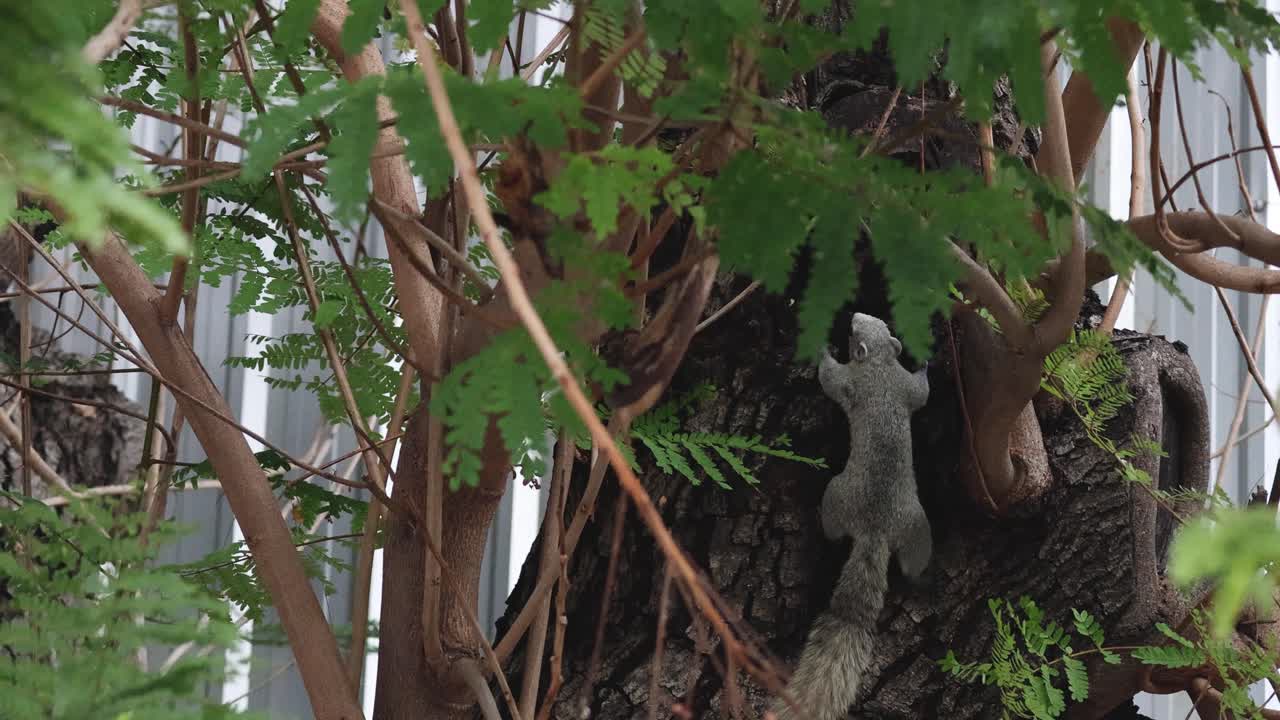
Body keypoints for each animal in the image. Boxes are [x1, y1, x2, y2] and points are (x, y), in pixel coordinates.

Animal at [770, 313, 932, 720]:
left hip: (838, 495)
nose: (855, 315)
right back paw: (920, 576)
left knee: (831, 525)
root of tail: (876, 531)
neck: (879, 364)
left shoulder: (850, 382)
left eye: (853, 332)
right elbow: (922, 391)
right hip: (918, 527)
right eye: (881, 324)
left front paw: (821, 349)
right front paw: (926, 363)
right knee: (913, 561)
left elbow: (829, 378)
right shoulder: (905, 387)